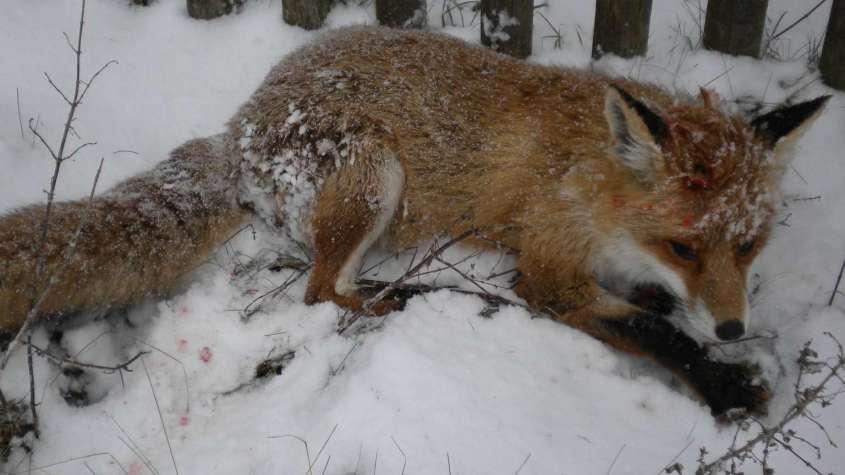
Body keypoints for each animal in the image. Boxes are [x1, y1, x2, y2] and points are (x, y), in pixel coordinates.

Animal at [0, 26, 831, 415]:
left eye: (748, 244)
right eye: (684, 244)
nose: (732, 327)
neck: (592, 184)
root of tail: (237, 125)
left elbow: (654, 308)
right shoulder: (548, 275)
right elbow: (654, 331)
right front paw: (725, 383)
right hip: (376, 178)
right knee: (321, 291)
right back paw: (400, 298)